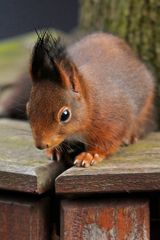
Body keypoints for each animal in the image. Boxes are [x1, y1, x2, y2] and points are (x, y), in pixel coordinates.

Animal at [26, 31, 156, 167]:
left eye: (65, 115)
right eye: (28, 109)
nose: (40, 145)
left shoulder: (114, 120)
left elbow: (107, 141)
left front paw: (90, 154)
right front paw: (55, 149)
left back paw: (129, 136)